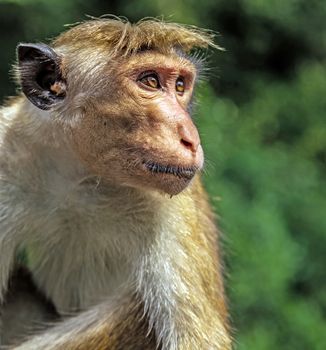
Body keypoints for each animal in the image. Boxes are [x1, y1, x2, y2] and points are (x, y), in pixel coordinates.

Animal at [0, 17, 232, 348]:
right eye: (150, 81)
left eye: (180, 86)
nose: (190, 137)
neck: (82, 177)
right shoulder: (7, 158)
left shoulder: (176, 210)